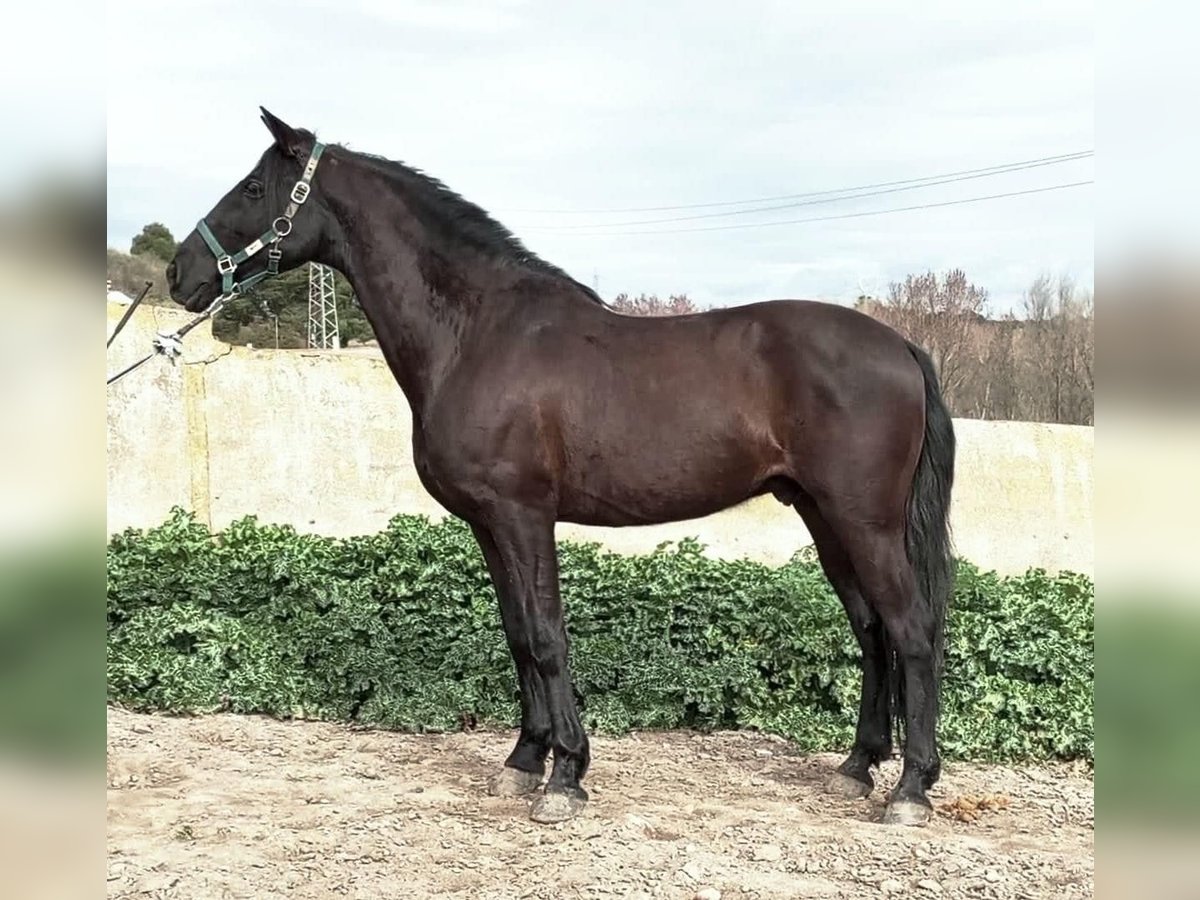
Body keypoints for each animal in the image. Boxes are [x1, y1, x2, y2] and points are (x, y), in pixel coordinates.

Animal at [169, 109, 955, 830]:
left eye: (252, 187)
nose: (179, 272)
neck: (477, 332)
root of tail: (903, 347)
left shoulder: (524, 513)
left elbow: (548, 636)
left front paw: (566, 777)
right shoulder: (488, 524)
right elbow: (519, 636)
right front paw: (525, 761)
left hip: (864, 521)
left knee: (911, 629)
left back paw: (910, 791)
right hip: (824, 517)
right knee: (872, 630)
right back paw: (857, 768)